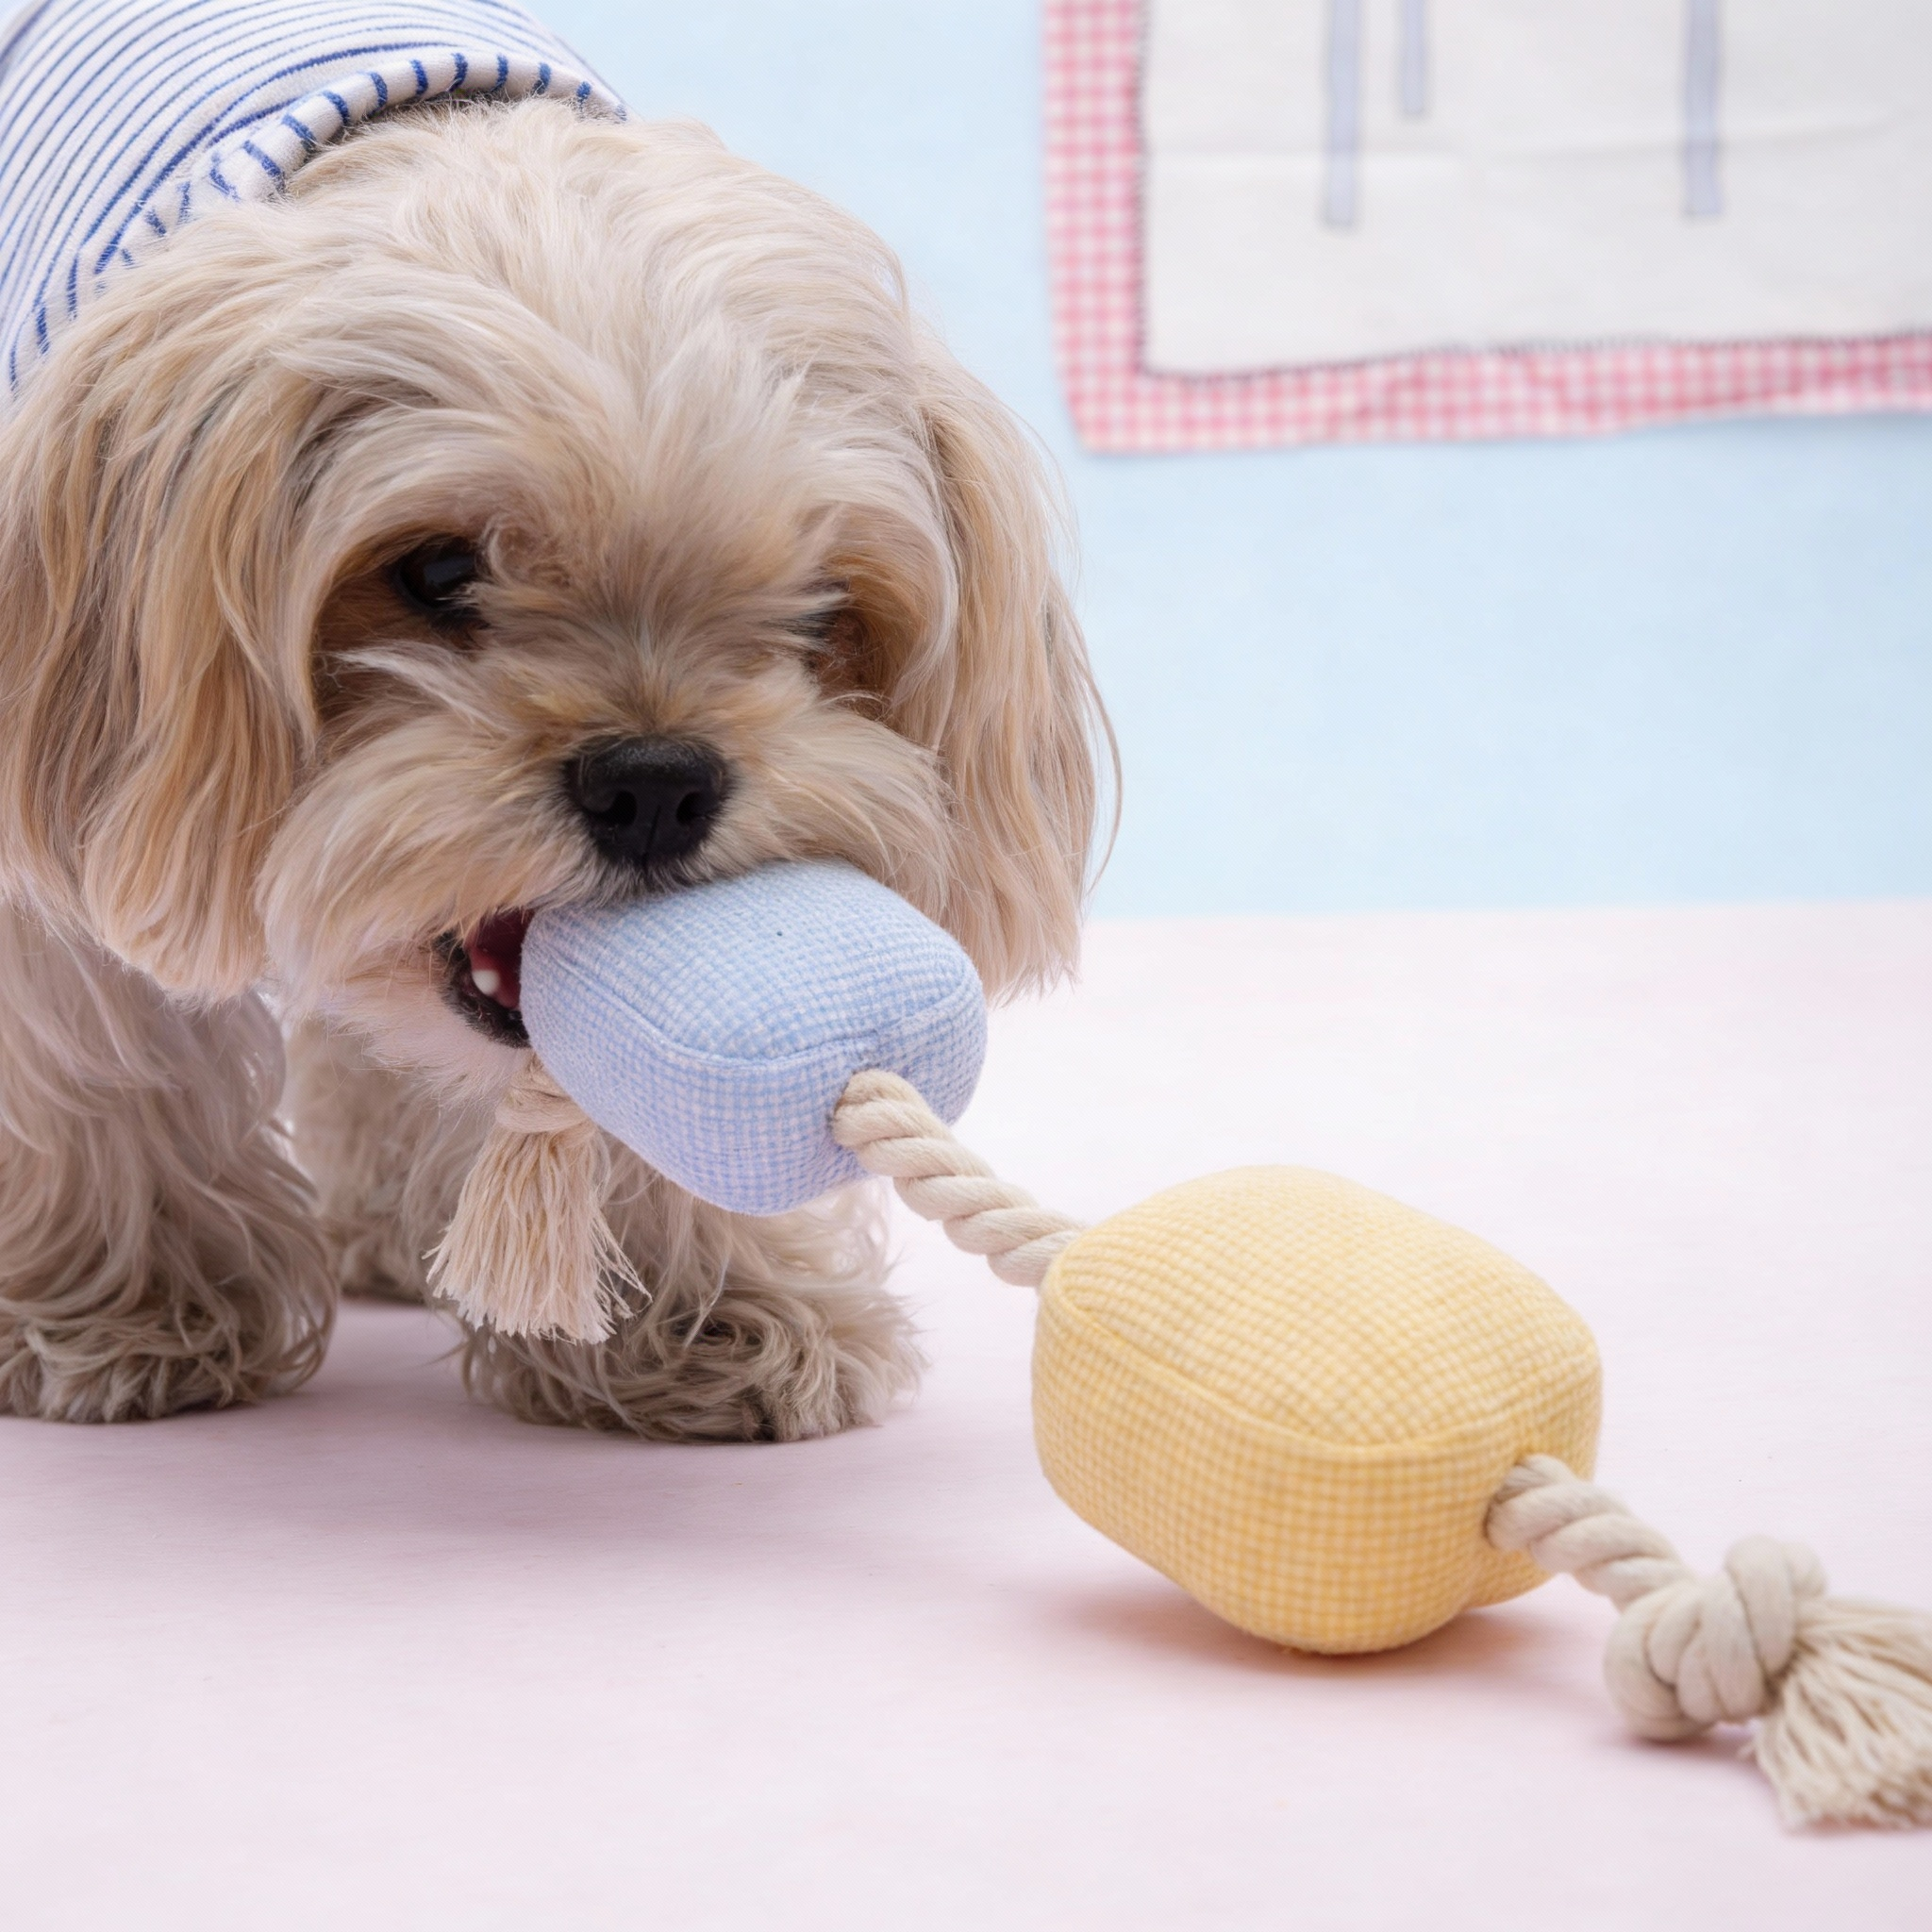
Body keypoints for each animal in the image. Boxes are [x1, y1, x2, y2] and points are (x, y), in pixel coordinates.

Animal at [0, 2, 1108, 1438]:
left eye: (818, 606)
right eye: (436, 571)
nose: (655, 780)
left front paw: (702, 1305)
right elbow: (104, 1065)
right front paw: (128, 1302)